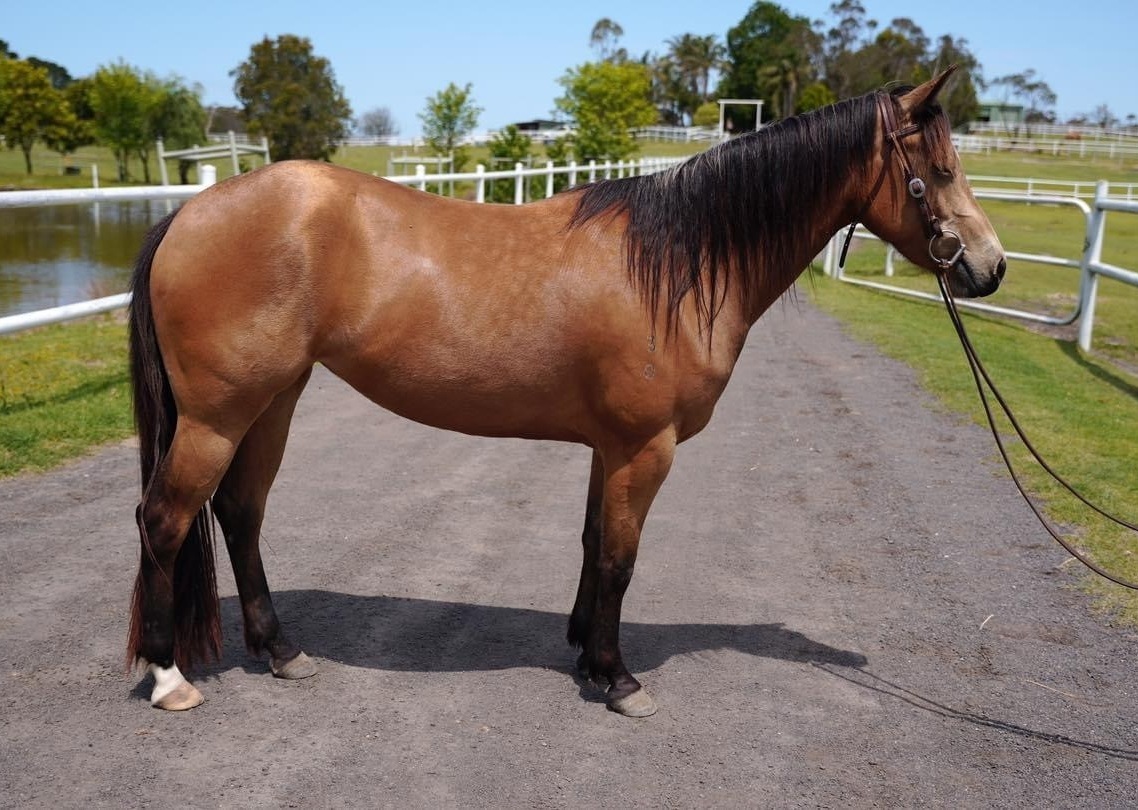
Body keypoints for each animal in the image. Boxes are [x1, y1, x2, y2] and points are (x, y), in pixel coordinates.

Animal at [126, 68, 1005, 717]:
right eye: (939, 170)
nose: (989, 268)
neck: (678, 265)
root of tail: (187, 214)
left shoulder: (609, 448)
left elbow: (591, 546)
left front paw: (585, 651)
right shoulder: (644, 449)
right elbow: (620, 558)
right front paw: (619, 678)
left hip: (271, 404)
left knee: (240, 514)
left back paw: (280, 652)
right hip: (216, 415)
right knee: (166, 519)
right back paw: (171, 679)